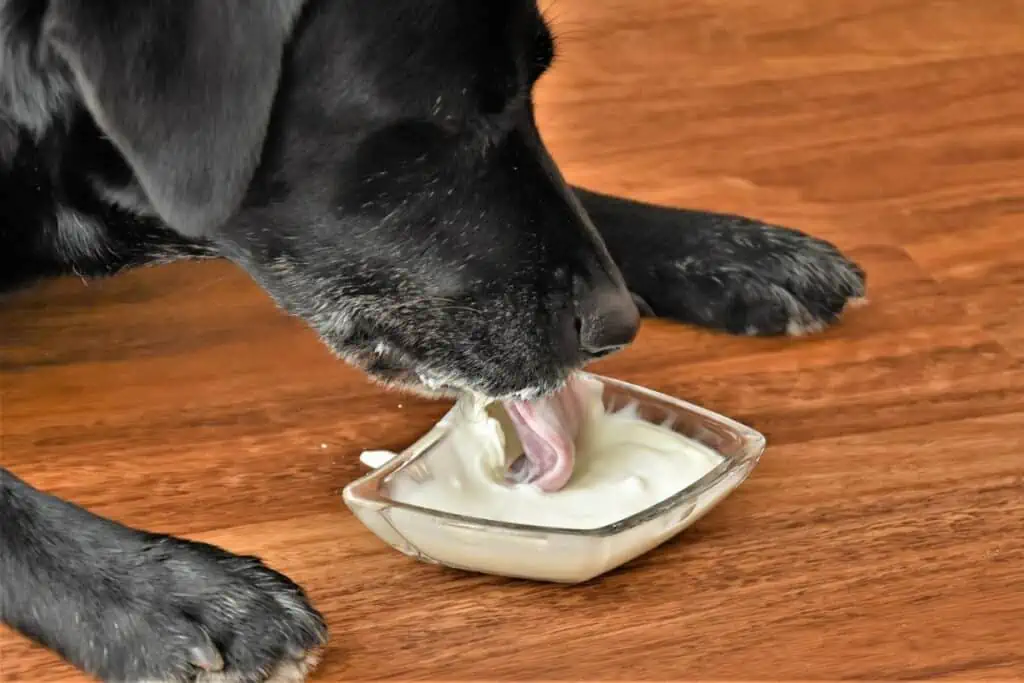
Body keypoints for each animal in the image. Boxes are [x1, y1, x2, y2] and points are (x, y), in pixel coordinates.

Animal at [0, 2, 868, 679]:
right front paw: (161, 591)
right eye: (447, 116)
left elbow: (577, 197)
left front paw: (727, 246)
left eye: (530, 86)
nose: (618, 325)